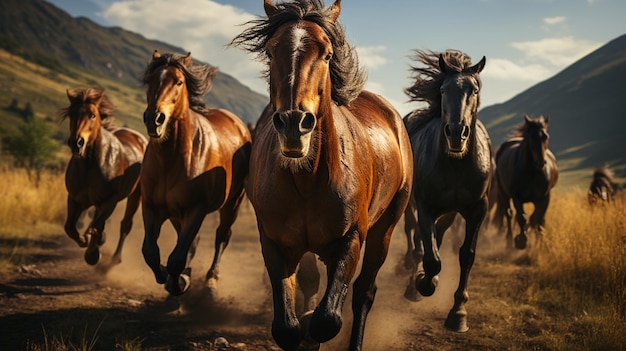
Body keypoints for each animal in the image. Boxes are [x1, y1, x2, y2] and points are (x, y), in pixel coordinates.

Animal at [58, 88, 146, 266]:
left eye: (92, 115)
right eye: (71, 114)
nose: (76, 143)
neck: (90, 166)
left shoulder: (109, 200)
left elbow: (97, 226)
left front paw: (92, 254)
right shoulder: (76, 199)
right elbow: (70, 227)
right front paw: (85, 240)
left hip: (136, 195)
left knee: (125, 224)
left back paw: (115, 258)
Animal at [140, 50, 250, 296]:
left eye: (179, 82)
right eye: (150, 81)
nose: (154, 119)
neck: (170, 161)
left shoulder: (196, 210)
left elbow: (176, 258)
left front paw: (178, 282)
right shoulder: (152, 207)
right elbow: (150, 252)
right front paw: (169, 277)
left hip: (233, 203)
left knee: (222, 237)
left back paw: (212, 278)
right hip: (176, 214)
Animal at [229, 1, 410, 350]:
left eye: (327, 54)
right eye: (270, 51)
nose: (294, 124)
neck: (307, 181)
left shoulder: (352, 238)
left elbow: (327, 319)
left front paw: (313, 324)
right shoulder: (274, 242)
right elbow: (287, 327)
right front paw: (301, 323)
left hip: (386, 226)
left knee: (364, 293)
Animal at [400, 49, 492, 332]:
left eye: (474, 89)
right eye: (443, 90)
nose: (456, 132)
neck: (456, 164)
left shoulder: (478, 209)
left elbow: (467, 255)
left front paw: (458, 313)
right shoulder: (425, 206)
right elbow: (431, 257)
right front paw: (422, 284)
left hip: (449, 212)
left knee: (435, 238)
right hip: (412, 207)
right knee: (417, 240)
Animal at [492, 115, 556, 250]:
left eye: (546, 136)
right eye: (531, 136)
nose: (540, 163)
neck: (532, 172)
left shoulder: (543, 198)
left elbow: (536, 219)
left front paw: (538, 244)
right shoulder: (517, 196)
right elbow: (522, 218)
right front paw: (521, 241)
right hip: (503, 193)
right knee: (509, 214)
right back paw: (509, 240)